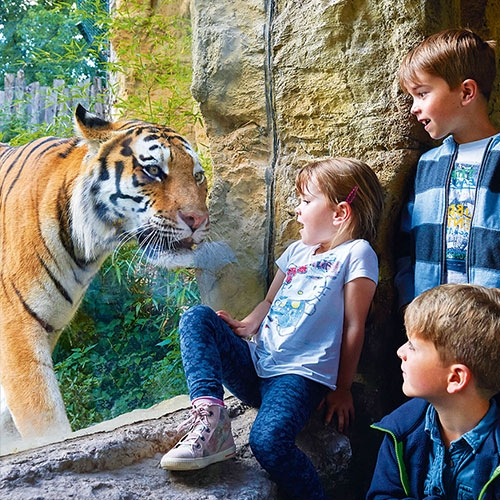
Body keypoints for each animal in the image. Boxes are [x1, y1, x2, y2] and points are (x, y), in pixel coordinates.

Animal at [0, 104, 209, 442]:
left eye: (198, 175)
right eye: (153, 170)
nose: (199, 219)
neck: (83, 250)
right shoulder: (16, 329)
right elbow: (44, 420)